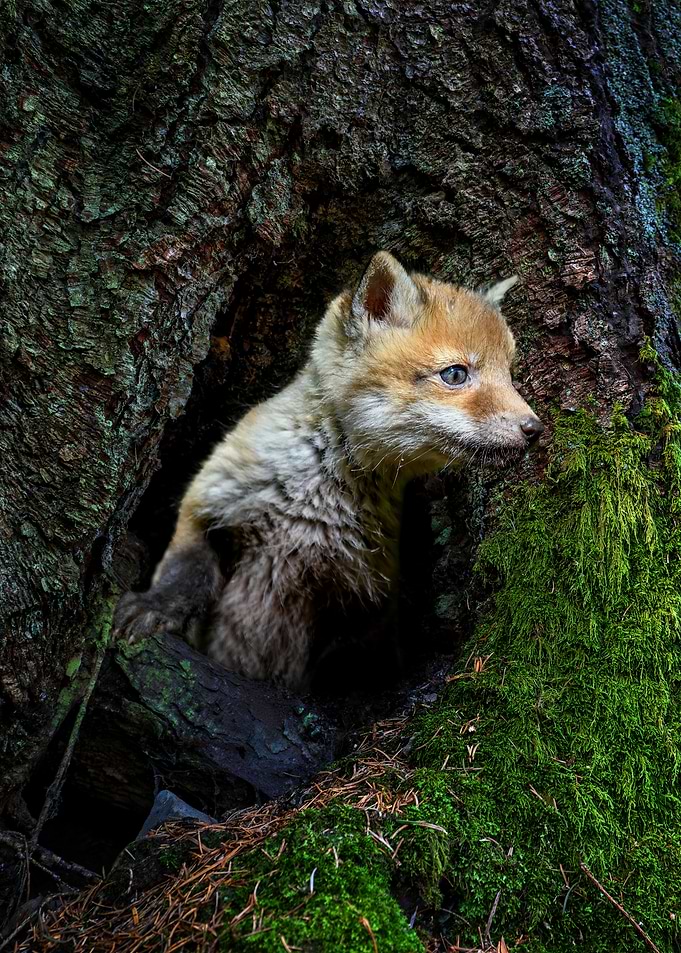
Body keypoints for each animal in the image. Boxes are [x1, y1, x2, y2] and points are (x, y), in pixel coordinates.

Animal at [114, 251, 543, 690]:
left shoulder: (363, 597)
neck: (309, 501)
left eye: (509, 375)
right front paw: (155, 608)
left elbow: (350, 665)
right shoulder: (208, 503)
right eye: (455, 374)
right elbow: (185, 573)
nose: (535, 429)